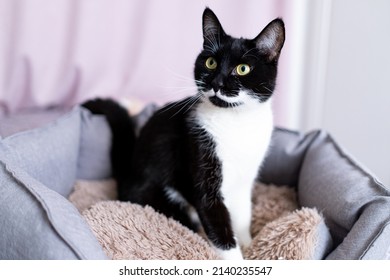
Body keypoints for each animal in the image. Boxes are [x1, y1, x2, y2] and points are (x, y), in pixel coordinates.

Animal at [83, 7, 284, 260]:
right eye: (210, 62)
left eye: (243, 68)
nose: (217, 82)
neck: (236, 122)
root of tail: (126, 176)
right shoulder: (198, 155)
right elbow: (219, 224)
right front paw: (237, 257)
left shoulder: (245, 180)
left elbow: (242, 215)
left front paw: (249, 245)